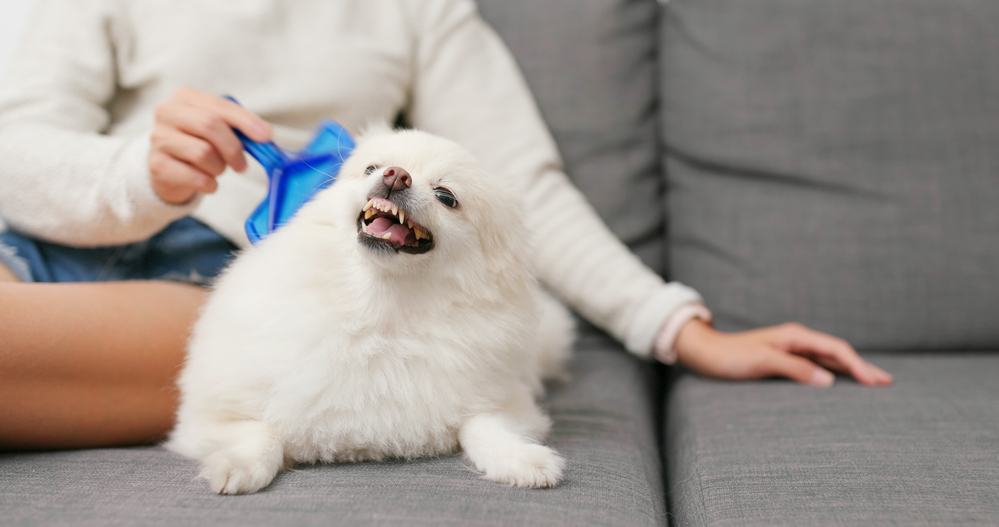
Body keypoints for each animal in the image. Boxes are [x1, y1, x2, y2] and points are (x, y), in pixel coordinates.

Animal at [168, 127, 576, 496]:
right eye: (371, 168)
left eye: (446, 197)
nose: (396, 174)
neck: (380, 311)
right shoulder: (208, 419)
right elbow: (261, 432)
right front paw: (238, 465)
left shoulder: (504, 401)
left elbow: (485, 427)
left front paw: (521, 460)